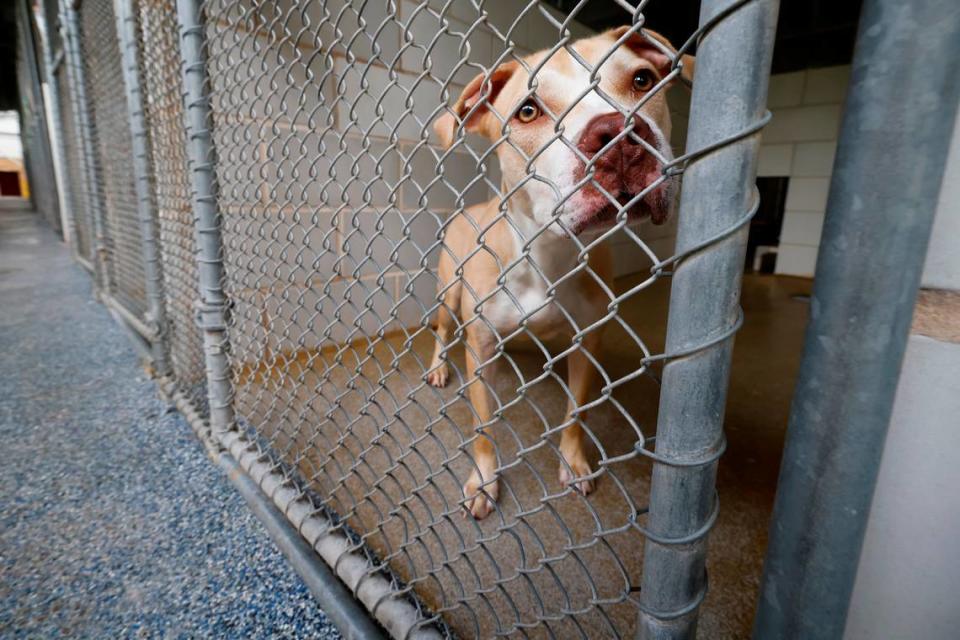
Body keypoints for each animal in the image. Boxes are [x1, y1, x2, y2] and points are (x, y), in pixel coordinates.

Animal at [426, 26, 688, 520]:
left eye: (642, 80)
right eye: (528, 110)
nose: (618, 134)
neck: (548, 251)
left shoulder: (587, 342)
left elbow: (575, 414)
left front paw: (573, 463)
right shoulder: (481, 347)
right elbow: (483, 427)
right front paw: (483, 480)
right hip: (448, 292)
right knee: (442, 331)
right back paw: (437, 369)